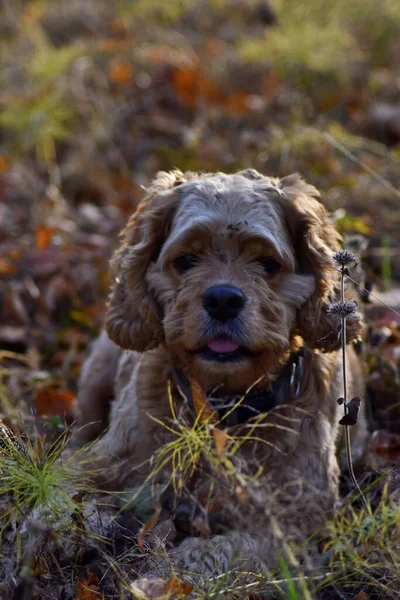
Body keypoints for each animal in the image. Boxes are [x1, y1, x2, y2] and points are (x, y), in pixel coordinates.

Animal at [73, 169, 368, 576]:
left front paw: (163, 570)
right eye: (185, 259)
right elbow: (62, 494)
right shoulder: (107, 460)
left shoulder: (295, 518)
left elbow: (222, 551)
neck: (220, 403)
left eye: (267, 264)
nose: (223, 299)